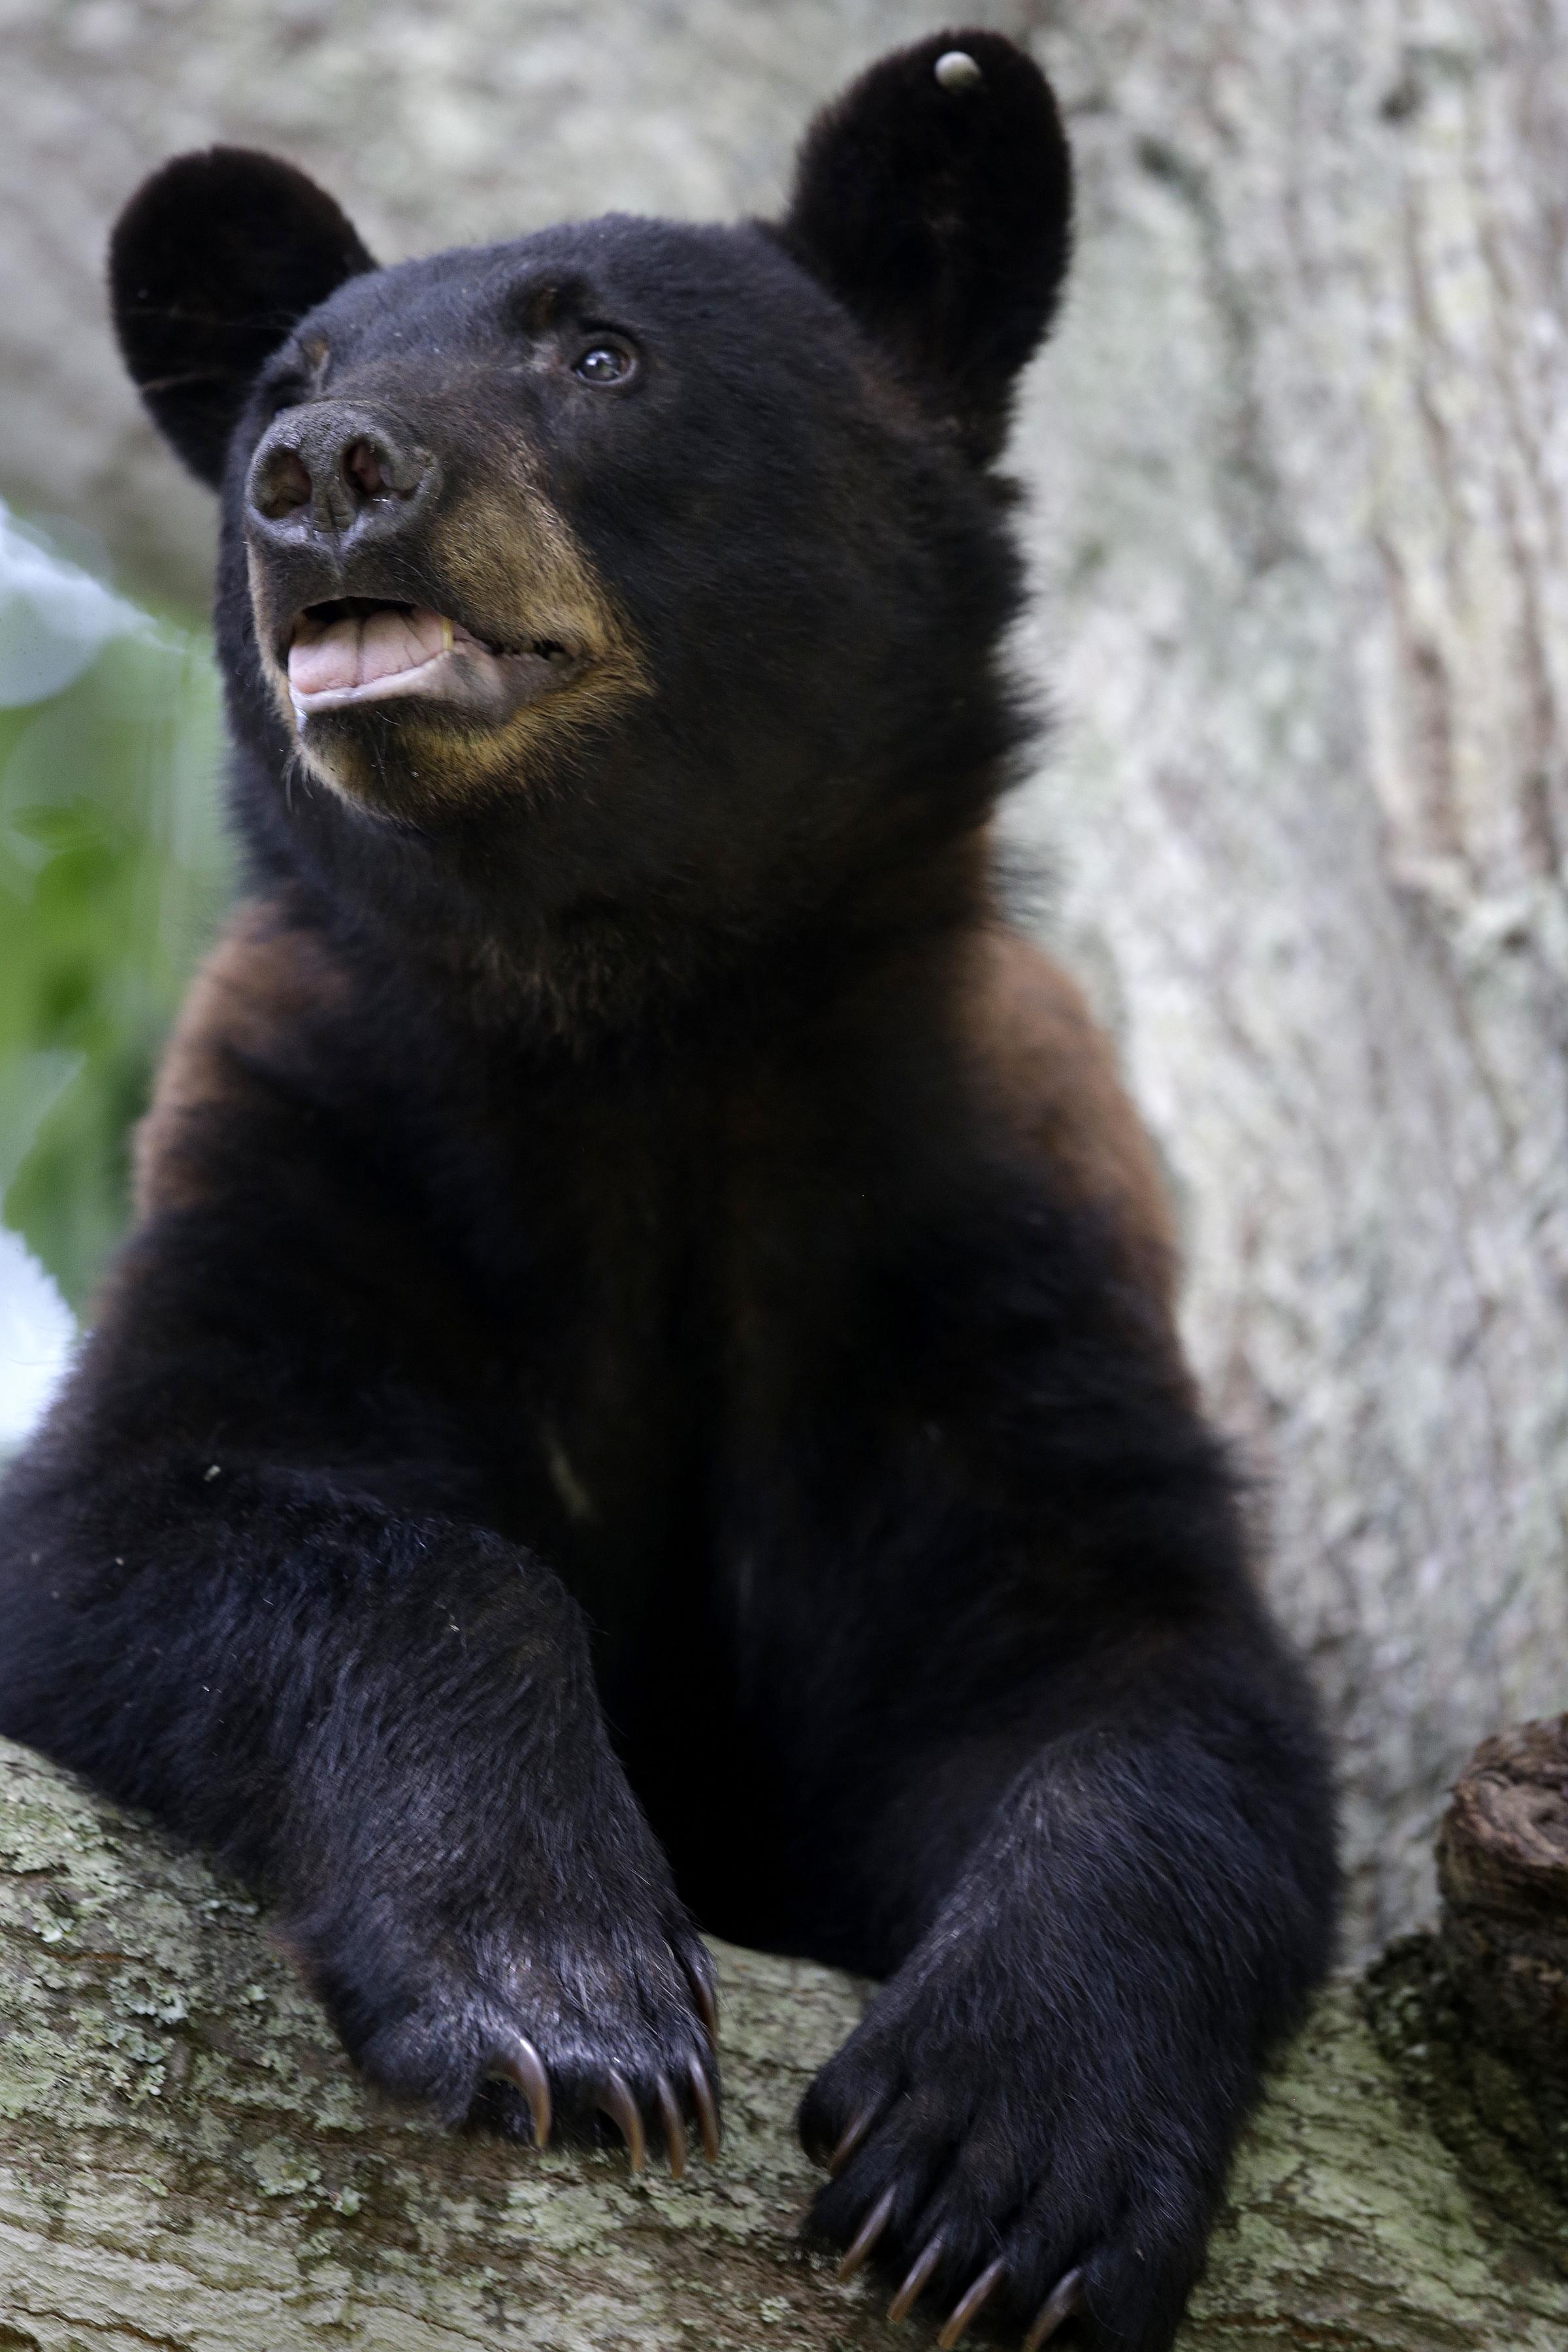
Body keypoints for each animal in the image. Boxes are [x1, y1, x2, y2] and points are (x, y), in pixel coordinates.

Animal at [0, 29, 1336, 2352]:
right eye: (288, 381)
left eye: (600, 353)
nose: (322, 469)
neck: (632, 1025)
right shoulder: (308, 1150)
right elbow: (166, 1519)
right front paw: (553, 1989)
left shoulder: (974, 1246)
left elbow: (1146, 1677)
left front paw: (1004, 2167)